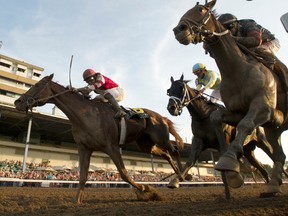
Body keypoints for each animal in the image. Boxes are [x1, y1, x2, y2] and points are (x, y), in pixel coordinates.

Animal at [14, 74, 184, 202]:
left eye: (37, 85)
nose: (18, 101)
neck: (85, 115)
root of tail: (161, 116)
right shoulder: (84, 148)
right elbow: (82, 176)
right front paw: (76, 201)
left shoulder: (112, 147)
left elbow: (124, 174)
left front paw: (145, 189)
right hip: (146, 145)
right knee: (167, 154)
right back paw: (178, 176)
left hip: (161, 138)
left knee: (174, 151)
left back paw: (181, 176)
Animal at [172, 0, 286, 196]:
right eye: (168, 91)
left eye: (200, 10)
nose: (179, 30)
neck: (236, 70)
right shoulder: (226, 119)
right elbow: (193, 156)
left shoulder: (263, 108)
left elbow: (245, 125)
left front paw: (229, 165)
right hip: (267, 135)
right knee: (275, 158)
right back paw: (272, 185)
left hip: (265, 135)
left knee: (273, 155)